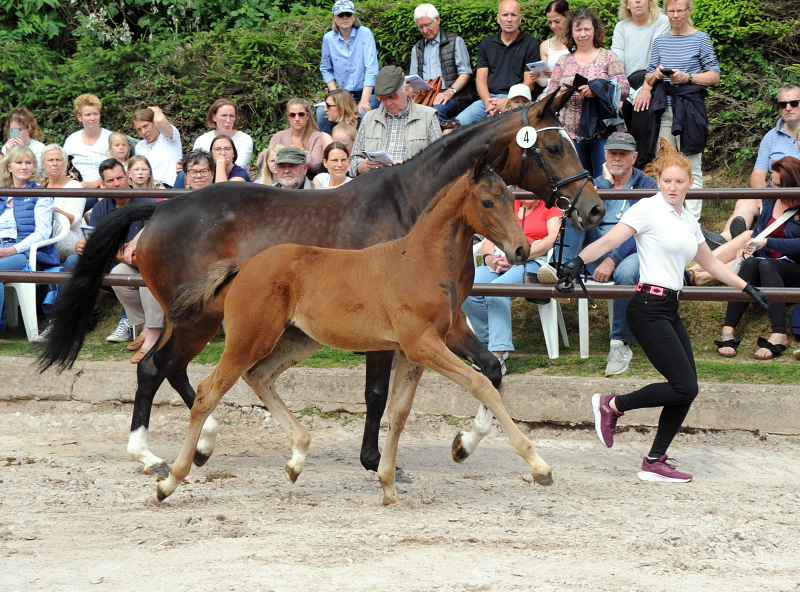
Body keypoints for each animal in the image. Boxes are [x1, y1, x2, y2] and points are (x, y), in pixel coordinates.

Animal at [157, 154, 556, 504]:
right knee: (208, 391)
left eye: (512, 198)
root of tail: (243, 267)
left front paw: (389, 484)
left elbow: (399, 413)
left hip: (298, 340)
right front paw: (539, 466)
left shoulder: (420, 349)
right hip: (249, 339)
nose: (521, 249)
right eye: (487, 202)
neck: (422, 262)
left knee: (259, 376)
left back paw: (296, 458)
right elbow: (481, 384)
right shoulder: (422, 344)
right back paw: (171, 479)